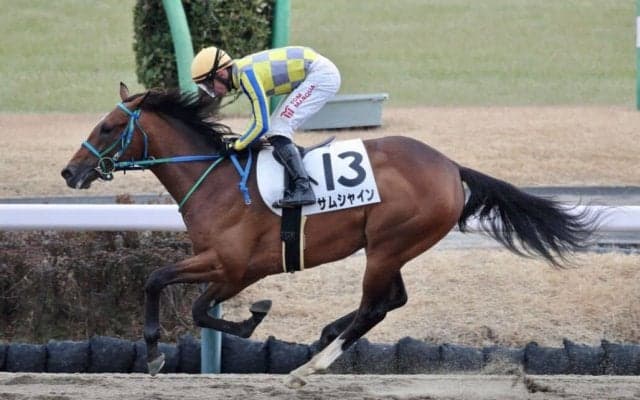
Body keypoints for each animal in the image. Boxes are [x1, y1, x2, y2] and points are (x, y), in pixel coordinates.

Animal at [61, 83, 595, 387]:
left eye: (109, 126)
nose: (70, 172)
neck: (216, 181)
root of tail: (451, 167)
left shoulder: (235, 267)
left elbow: (170, 290)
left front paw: (163, 353)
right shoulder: (224, 267)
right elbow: (179, 296)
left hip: (388, 245)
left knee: (374, 307)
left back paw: (310, 366)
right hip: (390, 248)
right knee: (391, 301)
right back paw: (323, 338)